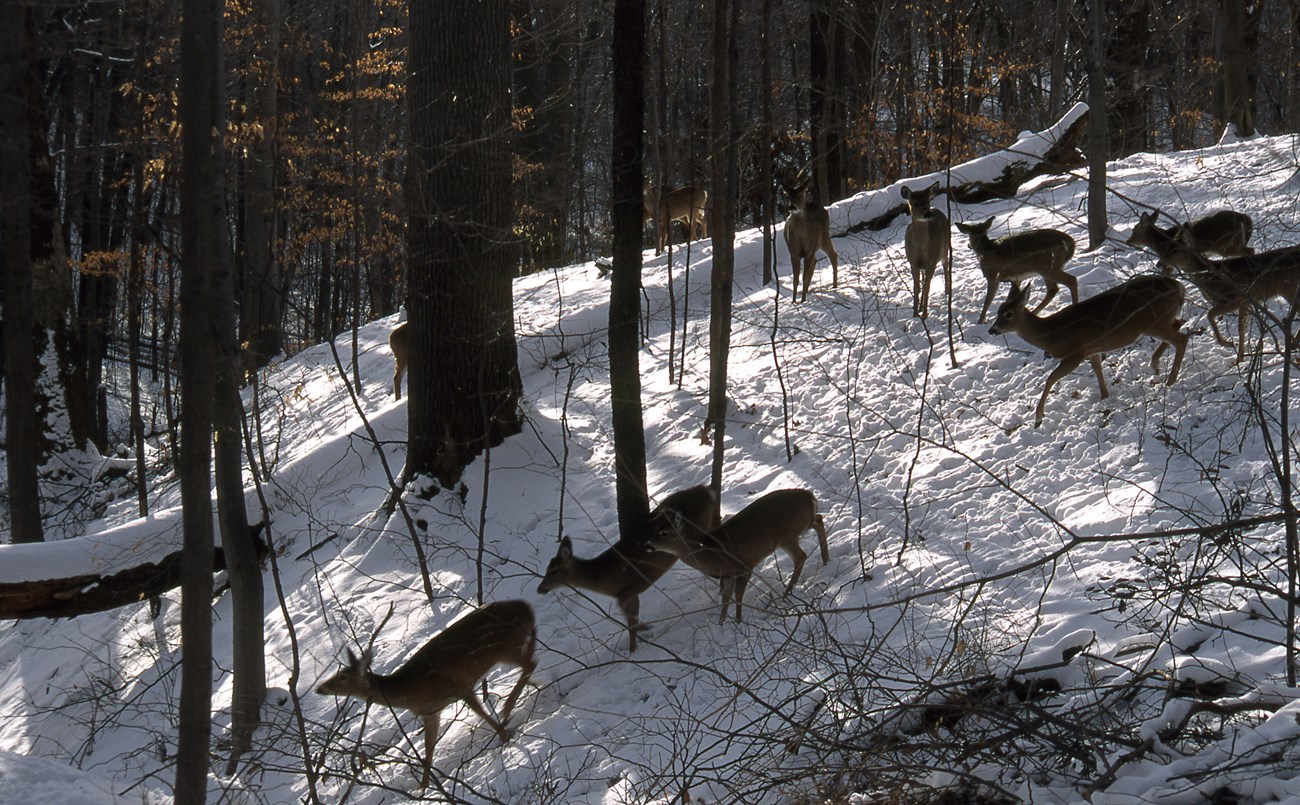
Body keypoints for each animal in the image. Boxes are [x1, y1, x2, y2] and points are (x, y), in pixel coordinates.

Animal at [317, 600, 535, 790]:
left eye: (342, 676)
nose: (320, 688)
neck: (411, 691)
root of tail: (526, 606)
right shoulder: (430, 713)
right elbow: (429, 750)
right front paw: (423, 788)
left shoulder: (460, 684)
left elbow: (482, 714)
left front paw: (505, 735)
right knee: (531, 662)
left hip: (506, 646)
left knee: (531, 663)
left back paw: (508, 707)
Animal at [538, 481, 722, 652]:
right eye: (546, 569)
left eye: (554, 571)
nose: (540, 588)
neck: (606, 579)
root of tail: (705, 489)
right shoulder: (631, 593)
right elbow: (629, 621)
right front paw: (634, 647)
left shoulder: (639, 581)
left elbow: (626, 613)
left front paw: (642, 632)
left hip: (698, 529)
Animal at [644, 488, 826, 626]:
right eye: (654, 529)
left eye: (664, 533)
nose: (647, 545)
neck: (710, 552)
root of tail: (809, 496)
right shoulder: (728, 575)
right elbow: (725, 600)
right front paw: (721, 625)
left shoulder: (744, 566)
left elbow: (738, 596)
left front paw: (738, 622)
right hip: (798, 527)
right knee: (819, 520)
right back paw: (826, 560)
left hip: (787, 534)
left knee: (801, 556)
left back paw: (787, 594)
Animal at [982, 275, 1190, 431]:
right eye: (998, 311)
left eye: (1008, 314)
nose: (992, 330)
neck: (1052, 333)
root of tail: (1181, 287)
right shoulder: (1092, 349)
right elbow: (1098, 370)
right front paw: (1105, 397)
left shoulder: (1075, 354)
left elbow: (1050, 378)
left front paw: (1038, 418)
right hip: (1162, 320)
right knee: (1180, 325)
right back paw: (1156, 365)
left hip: (1155, 321)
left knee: (1182, 338)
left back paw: (1169, 380)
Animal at [1128, 214, 1300, 364]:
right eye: (1168, 246)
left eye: (1175, 249)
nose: (1159, 264)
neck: (1210, 276)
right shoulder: (1245, 301)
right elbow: (1241, 327)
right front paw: (1240, 357)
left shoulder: (1234, 298)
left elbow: (1211, 314)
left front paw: (1228, 344)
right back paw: (1293, 344)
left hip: (1289, 287)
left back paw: (1293, 344)